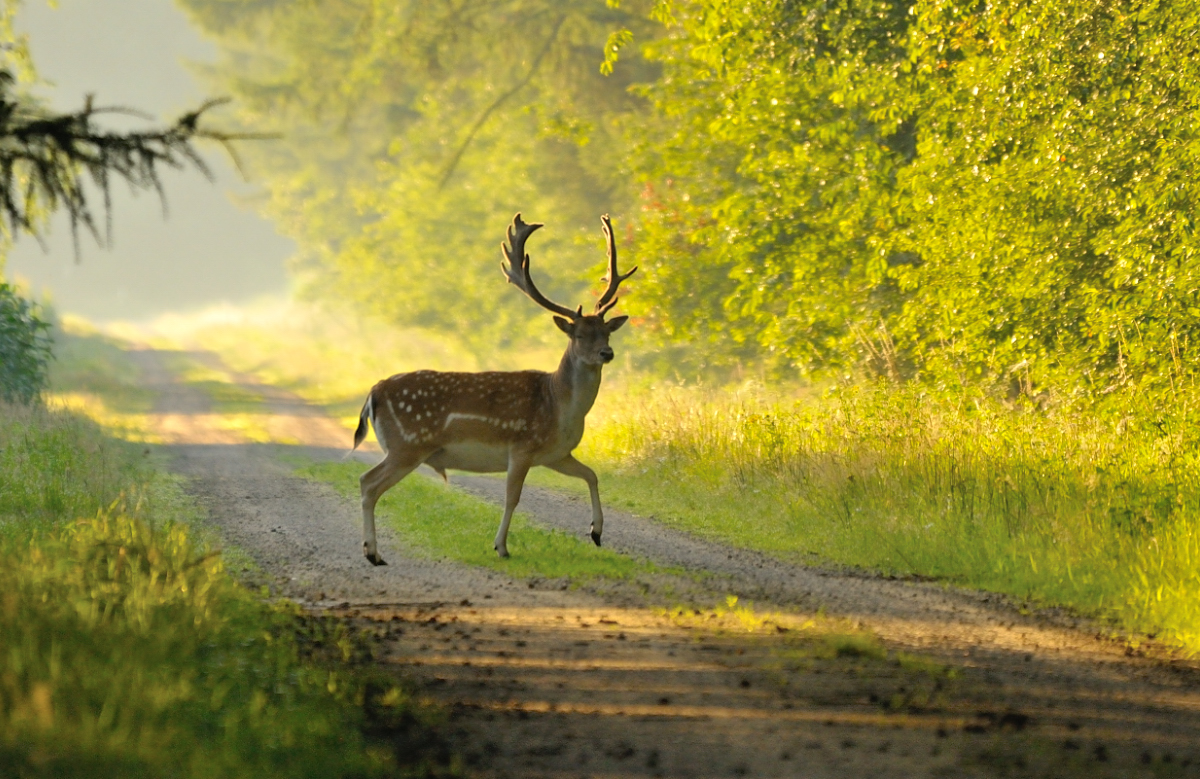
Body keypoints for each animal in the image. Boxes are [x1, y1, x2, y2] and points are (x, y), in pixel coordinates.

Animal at [350, 212, 638, 564]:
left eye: (607, 333)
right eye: (580, 334)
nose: (606, 354)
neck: (559, 406)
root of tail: (373, 394)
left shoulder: (556, 453)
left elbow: (592, 475)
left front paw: (596, 532)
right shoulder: (522, 446)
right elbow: (512, 498)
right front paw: (501, 546)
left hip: (405, 448)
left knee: (367, 482)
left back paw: (372, 552)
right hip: (407, 445)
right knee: (368, 482)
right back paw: (373, 552)